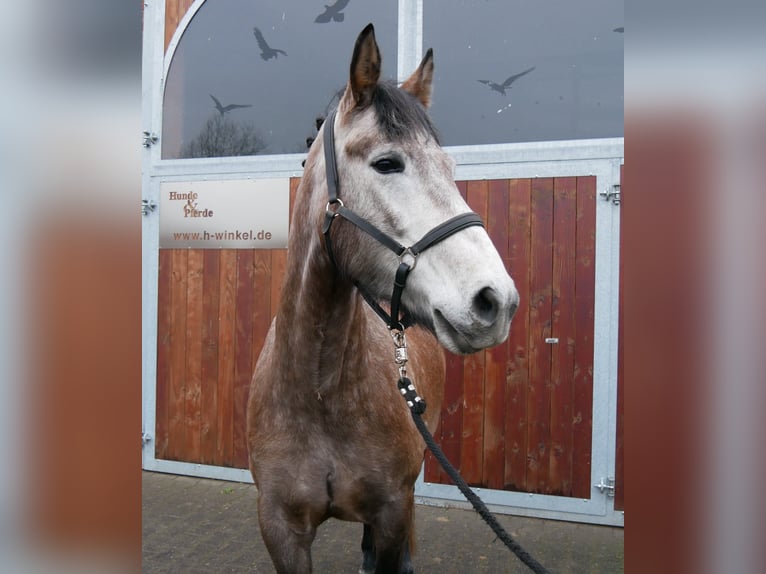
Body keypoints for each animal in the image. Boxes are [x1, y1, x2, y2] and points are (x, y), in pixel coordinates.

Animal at [247, 24, 519, 574]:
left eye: (449, 167)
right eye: (387, 163)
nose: (495, 301)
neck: (320, 392)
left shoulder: (393, 510)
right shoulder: (280, 529)